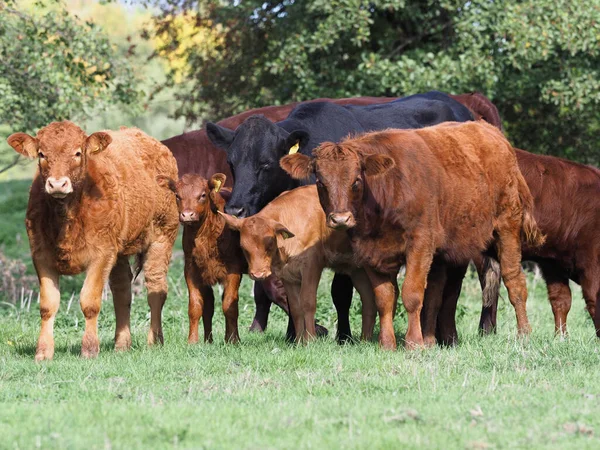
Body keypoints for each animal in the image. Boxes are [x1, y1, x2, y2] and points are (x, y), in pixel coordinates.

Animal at [7, 121, 178, 360]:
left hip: (163, 236)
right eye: (42, 154)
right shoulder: (41, 255)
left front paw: (89, 349)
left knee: (156, 289)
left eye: (78, 153)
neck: (66, 216)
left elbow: (89, 302)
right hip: (119, 249)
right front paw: (43, 352)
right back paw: (121, 344)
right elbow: (47, 305)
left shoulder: (101, 254)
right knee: (122, 291)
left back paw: (154, 341)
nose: (57, 184)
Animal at [220, 185, 380, 342]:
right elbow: (296, 308)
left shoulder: (311, 267)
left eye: (270, 243)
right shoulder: (287, 275)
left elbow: (308, 303)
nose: (258, 274)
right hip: (357, 270)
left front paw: (310, 340)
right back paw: (365, 340)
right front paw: (298, 342)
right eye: (243, 247)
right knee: (368, 300)